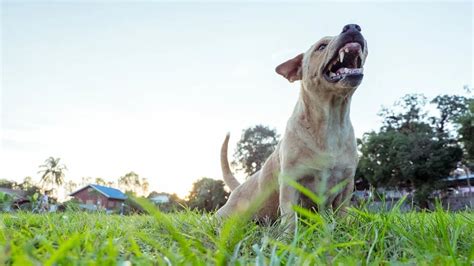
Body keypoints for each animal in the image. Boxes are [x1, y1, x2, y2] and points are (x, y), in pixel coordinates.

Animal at [217, 24, 368, 227]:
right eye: (321, 46)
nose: (352, 27)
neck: (331, 119)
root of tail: (238, 187)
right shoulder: (291, 181)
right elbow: (290, 217)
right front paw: (289, 234)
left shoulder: (346, 183)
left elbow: (343, 212)